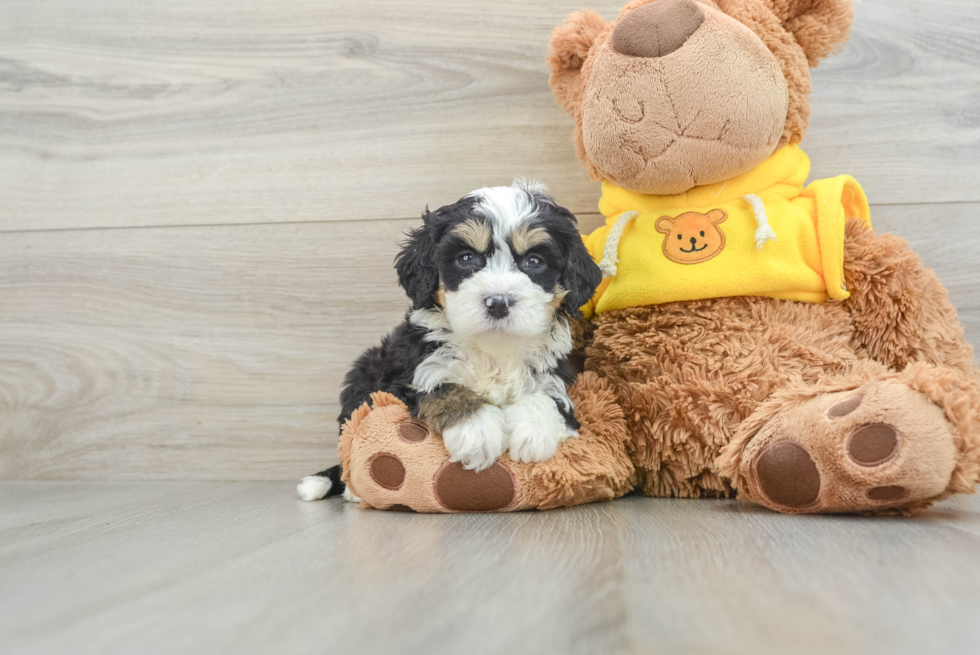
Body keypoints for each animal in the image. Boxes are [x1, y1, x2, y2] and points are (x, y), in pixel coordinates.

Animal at [294, 179, 600, 502]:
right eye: (466, 258)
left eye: (534, 261)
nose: (498, 302)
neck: (493, 349)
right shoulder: (409, 372)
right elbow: (443, 387)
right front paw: (477, 429)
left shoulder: (555, 369)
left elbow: (551, 396)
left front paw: (534, 433)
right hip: (363, 373)